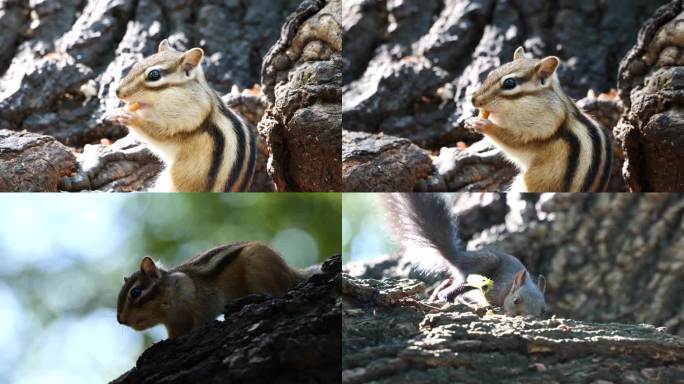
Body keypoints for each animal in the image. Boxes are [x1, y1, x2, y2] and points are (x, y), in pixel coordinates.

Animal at [109, 39, 256, 192]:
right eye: (136, 64)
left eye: (154, 75)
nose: (118, 92)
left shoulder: (187, 122)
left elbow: (158, 136)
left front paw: (131, 118)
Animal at [117, 242, 310, 338]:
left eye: (135, 292)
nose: (121, 321)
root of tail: (290, 272)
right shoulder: (174, 324)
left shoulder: (204, 299)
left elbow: (202, 318)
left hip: (258, 264)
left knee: (275, 292)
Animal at [388, 194, 548, 316]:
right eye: (516, 301)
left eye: (544, 310)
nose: (527, 317)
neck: (508, 289)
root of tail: (458, 258)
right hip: (480, 270)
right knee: (449, 291)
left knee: (447, 283)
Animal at [464, 48, 616, 192]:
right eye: (491, 73)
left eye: (509, 83)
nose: (474, 100)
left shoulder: (542, 129)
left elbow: (512, 142)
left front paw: (484, 125)